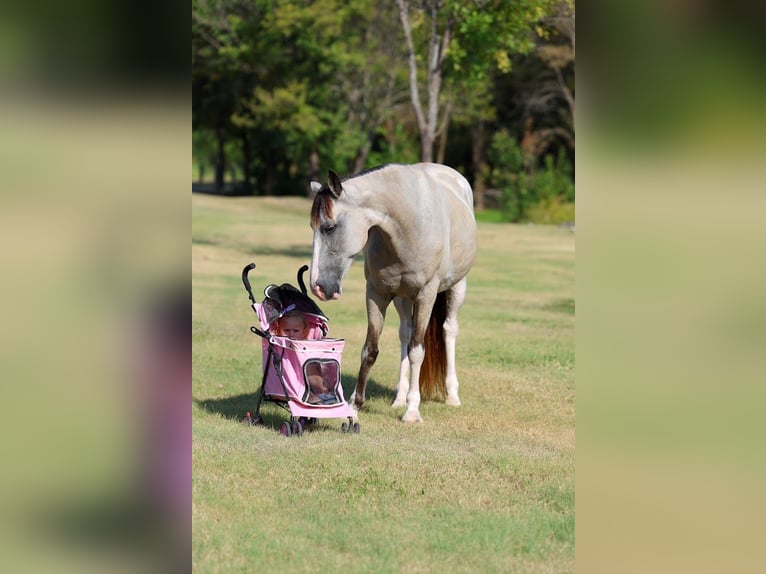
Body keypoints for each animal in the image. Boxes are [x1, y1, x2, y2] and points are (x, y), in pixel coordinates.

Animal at [308, 163, 477, 423]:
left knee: (449, 330)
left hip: (457, 288)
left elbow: (417, 351)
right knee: (405, 334)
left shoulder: (426, 295)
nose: (317, 286)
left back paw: (451, 396)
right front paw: (354, 408)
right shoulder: (376, 294)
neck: (407, 225)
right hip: (402, 298)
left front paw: (413, 411)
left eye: (329, 228)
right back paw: (399, 398)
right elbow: (370, 350)